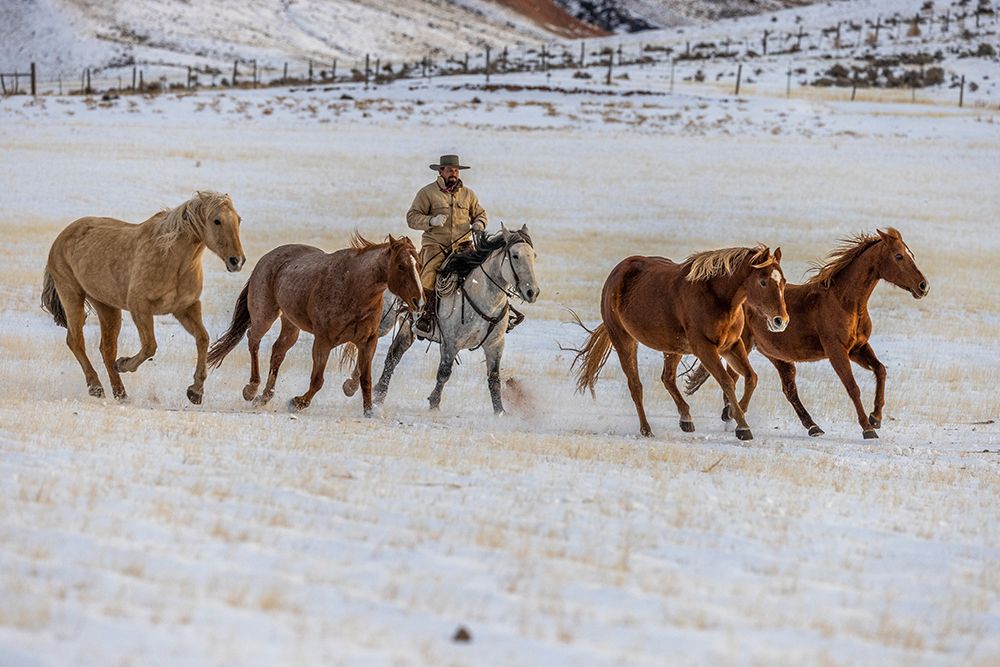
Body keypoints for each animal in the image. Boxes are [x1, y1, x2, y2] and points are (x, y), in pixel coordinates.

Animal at [41, 191, 246, 404]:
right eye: (217, 221)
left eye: (238, 220)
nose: (237, 261)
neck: (172, 259)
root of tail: (61, 237)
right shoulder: (140, 307)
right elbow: (150, 346)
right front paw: (124, 364)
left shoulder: (186, 308)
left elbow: (203, 339)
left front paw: (195, 391)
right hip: (72, 294)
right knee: (75, 341)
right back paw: (96, 387)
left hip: (107, 306)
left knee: (106, 349)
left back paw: (121, 394)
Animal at [206, 233, 423, 416]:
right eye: (401, 266)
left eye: (419, 265)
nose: (419, 301)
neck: (354, 288)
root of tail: (267, 258)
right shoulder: (323, 340)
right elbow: (318, 380)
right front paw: (298, 402)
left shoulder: (368, 342)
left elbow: (365, 380)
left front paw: (369, 410)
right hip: (264, 315)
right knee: (254, 340)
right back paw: (251, 389)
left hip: (291, 324)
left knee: (278, 352)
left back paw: (264, 396)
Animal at [344, 225, 539, 415]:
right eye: (515, 256)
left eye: (533, 256)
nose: (532, 292)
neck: (483, 298)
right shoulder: (450, 342)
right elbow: (444, 372)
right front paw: (434, 404)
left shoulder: (495, 345)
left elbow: (494, 378)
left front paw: (499, 411)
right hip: (385, 322)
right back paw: (351, 386)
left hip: (408, 327)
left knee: (394, 355)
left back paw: (379, 394)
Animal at [571, 245, 788, 441]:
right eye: (763, 282)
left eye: (783, 282)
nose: (781, 321)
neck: (718, 299)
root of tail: (617, 273)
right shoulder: (704, 348)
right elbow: (726, 382)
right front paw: (742, 426)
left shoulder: (732, 346)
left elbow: (752, 378)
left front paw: (733, 414)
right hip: (624, 340)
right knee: (635, 385)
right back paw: (646, 429)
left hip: (673, 348)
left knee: (667, 378)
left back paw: (686, 419)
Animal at [684, 228, 929, 439]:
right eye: (899, 256)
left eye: (911, 254)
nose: (923, 286)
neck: (845, 303)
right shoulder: (837, 351)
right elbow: (853, 387)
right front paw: (868, 428)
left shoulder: (857, 348)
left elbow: (881, 371)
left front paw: (876, 417)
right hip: (743, 346)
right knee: (739, 379)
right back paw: (735, 417)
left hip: (775, 355)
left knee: (783, 388)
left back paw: (811, 426)